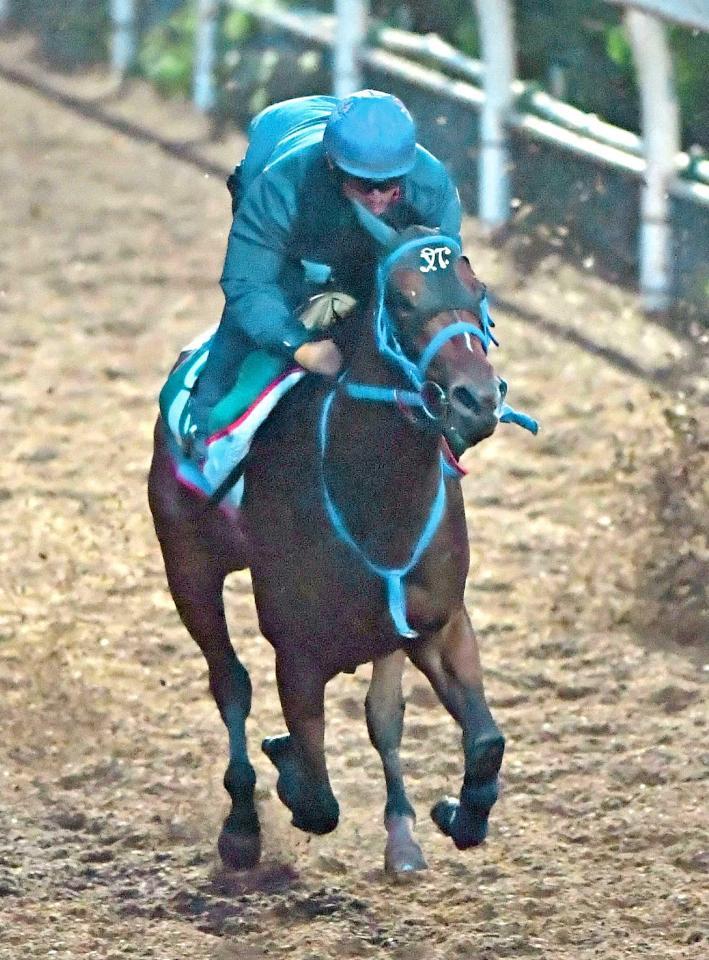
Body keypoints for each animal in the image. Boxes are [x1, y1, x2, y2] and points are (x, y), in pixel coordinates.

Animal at [149, 218, 508, 876]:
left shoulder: (438, 622)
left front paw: (455, 813)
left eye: (478, 292)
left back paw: (402, 835)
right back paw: (241, 827)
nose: (478, 398)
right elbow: (316, 795)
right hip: (188, 570)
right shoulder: (296, 652)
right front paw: (285, 765)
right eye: (402, 301)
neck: (368, 494)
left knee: (383, 717)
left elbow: (482, 742)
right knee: (230, 683)